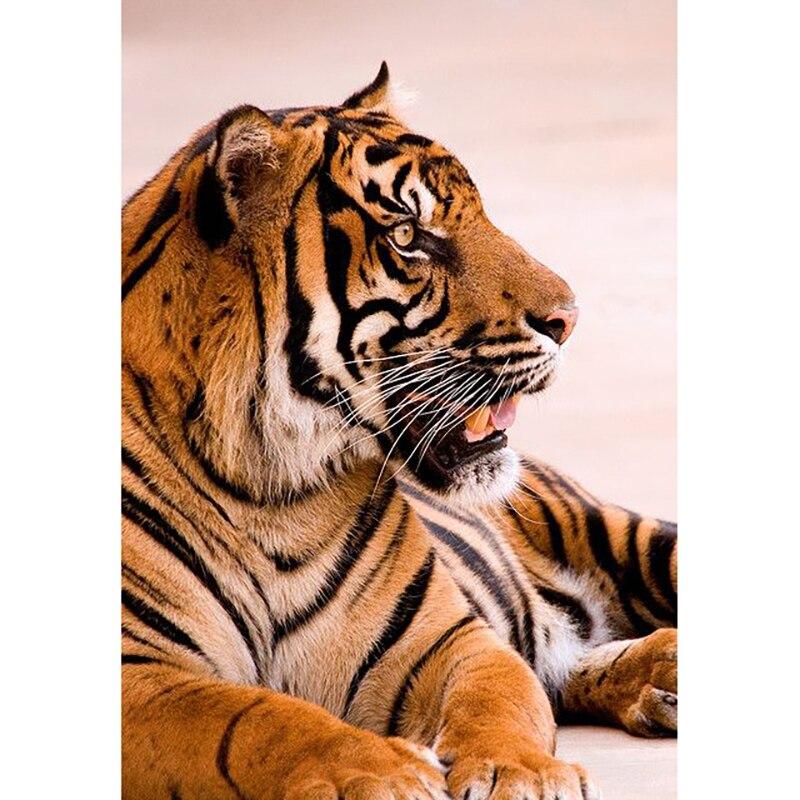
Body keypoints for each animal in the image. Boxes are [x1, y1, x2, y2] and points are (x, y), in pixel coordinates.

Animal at [122, 63, 677, 800]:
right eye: (409, 236)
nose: (569, 318)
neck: (271, 488)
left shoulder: (445, 639)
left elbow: (500, 698)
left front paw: (521, 773)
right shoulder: (134, 669)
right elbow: (252, 716)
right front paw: (378, 769)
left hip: (620, 533)